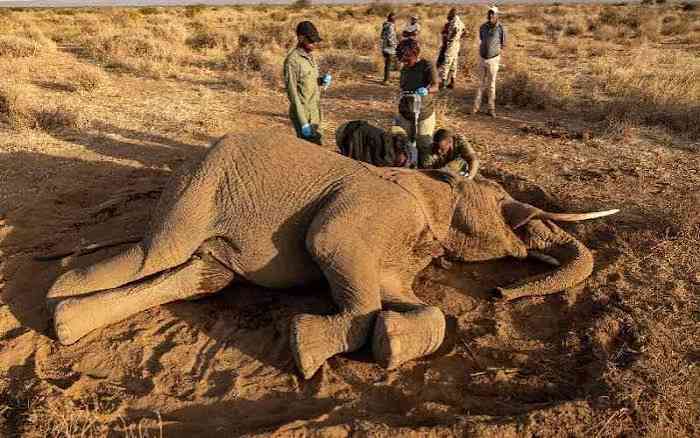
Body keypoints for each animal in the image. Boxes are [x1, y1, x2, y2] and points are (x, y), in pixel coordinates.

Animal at [46, 130, 618, 379]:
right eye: (502, 202)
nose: (500, 291)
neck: (428, 184)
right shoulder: (374, 210)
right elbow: (329, 243)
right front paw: (307, 350)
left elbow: (411, 301)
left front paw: (392, 342)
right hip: (199, 186)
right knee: (154, 254)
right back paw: (59, 289)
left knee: (198, 277)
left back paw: (65, 324)